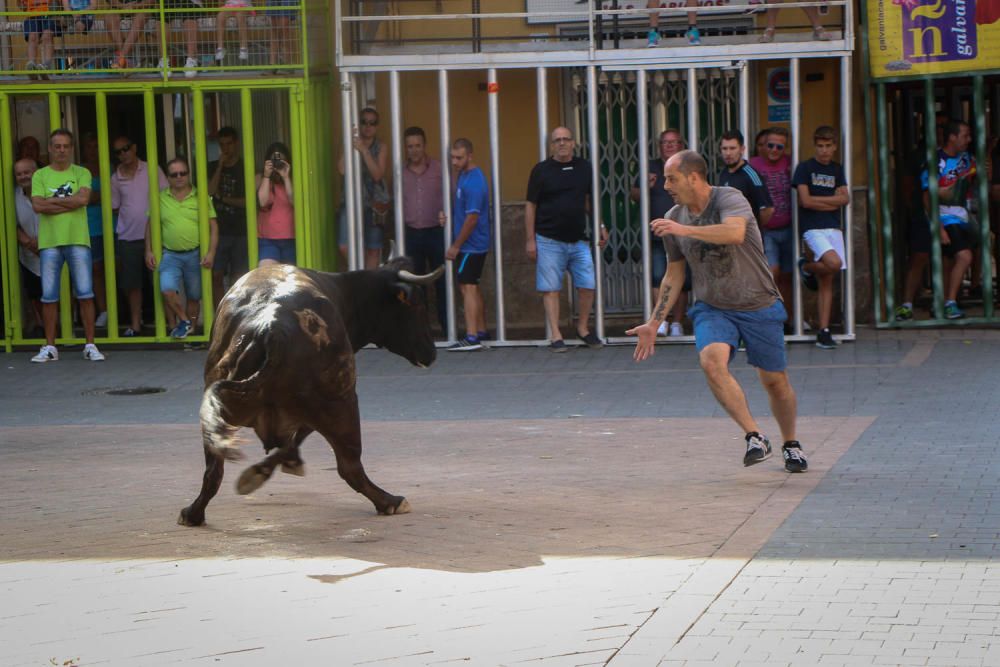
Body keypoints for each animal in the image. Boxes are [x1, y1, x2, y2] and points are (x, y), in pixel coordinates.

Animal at [178, 258, 444, 524]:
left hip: (222, 411)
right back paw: (390, 502)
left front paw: (270, 467)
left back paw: (194, 512)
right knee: (350, 467)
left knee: (213, 470)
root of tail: (272, 329)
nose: (431, 353)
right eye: (418, 306)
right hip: (343, 404)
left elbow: (291, 443)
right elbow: (300, 438)